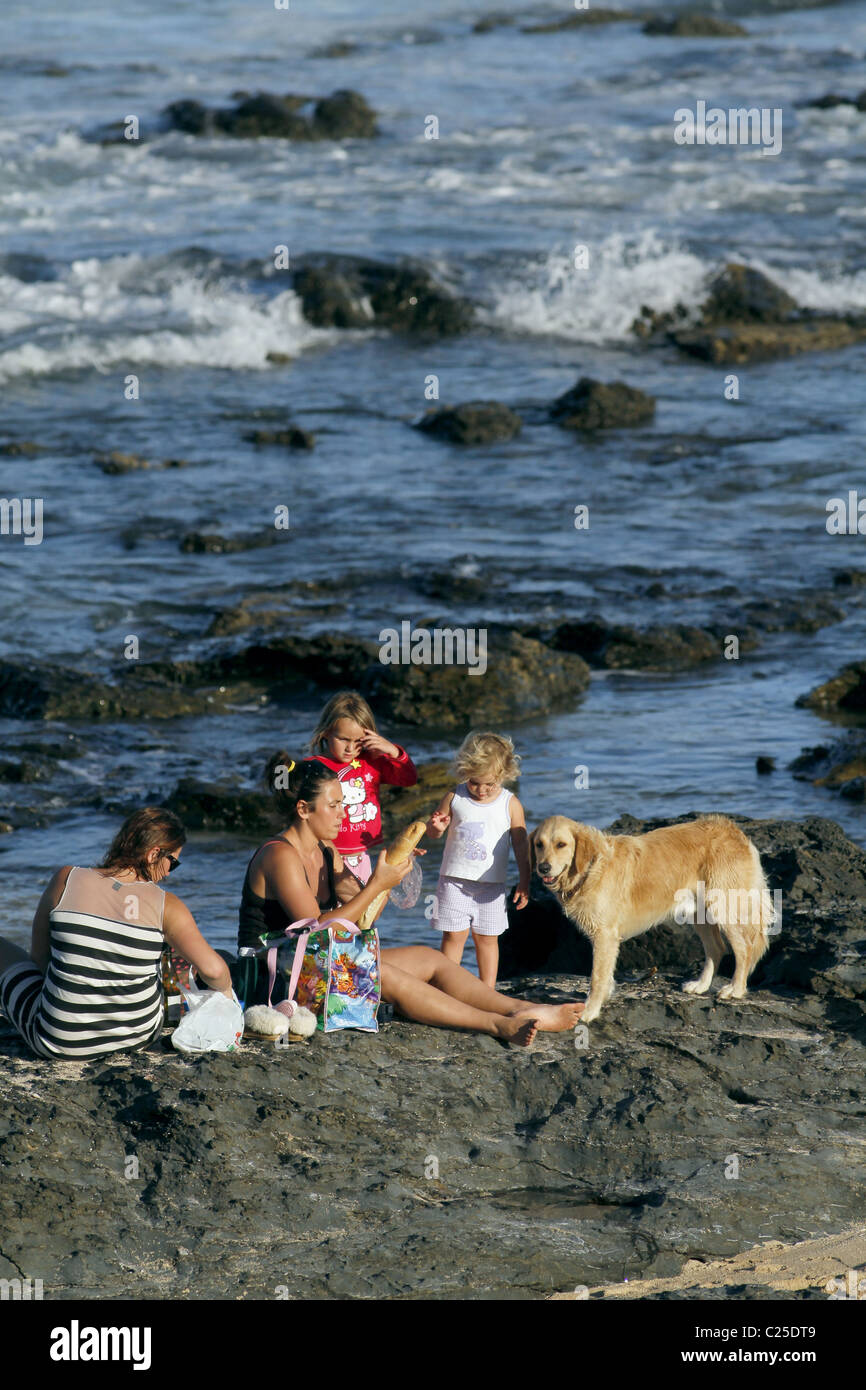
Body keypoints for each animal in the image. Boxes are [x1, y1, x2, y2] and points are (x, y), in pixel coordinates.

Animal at [530, 811, 778, 1023]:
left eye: (561, 844)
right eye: (538, 844)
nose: (543, 868)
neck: (590, 869)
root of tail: (734, 831)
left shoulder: (605, 935)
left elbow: (597, 978)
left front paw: (590, 1010)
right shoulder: (607, 939)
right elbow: (605, 975)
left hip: (724, 908)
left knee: (744, 949)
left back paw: (735, 989)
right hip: (700, 913)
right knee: (716, 948)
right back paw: (701, 985)